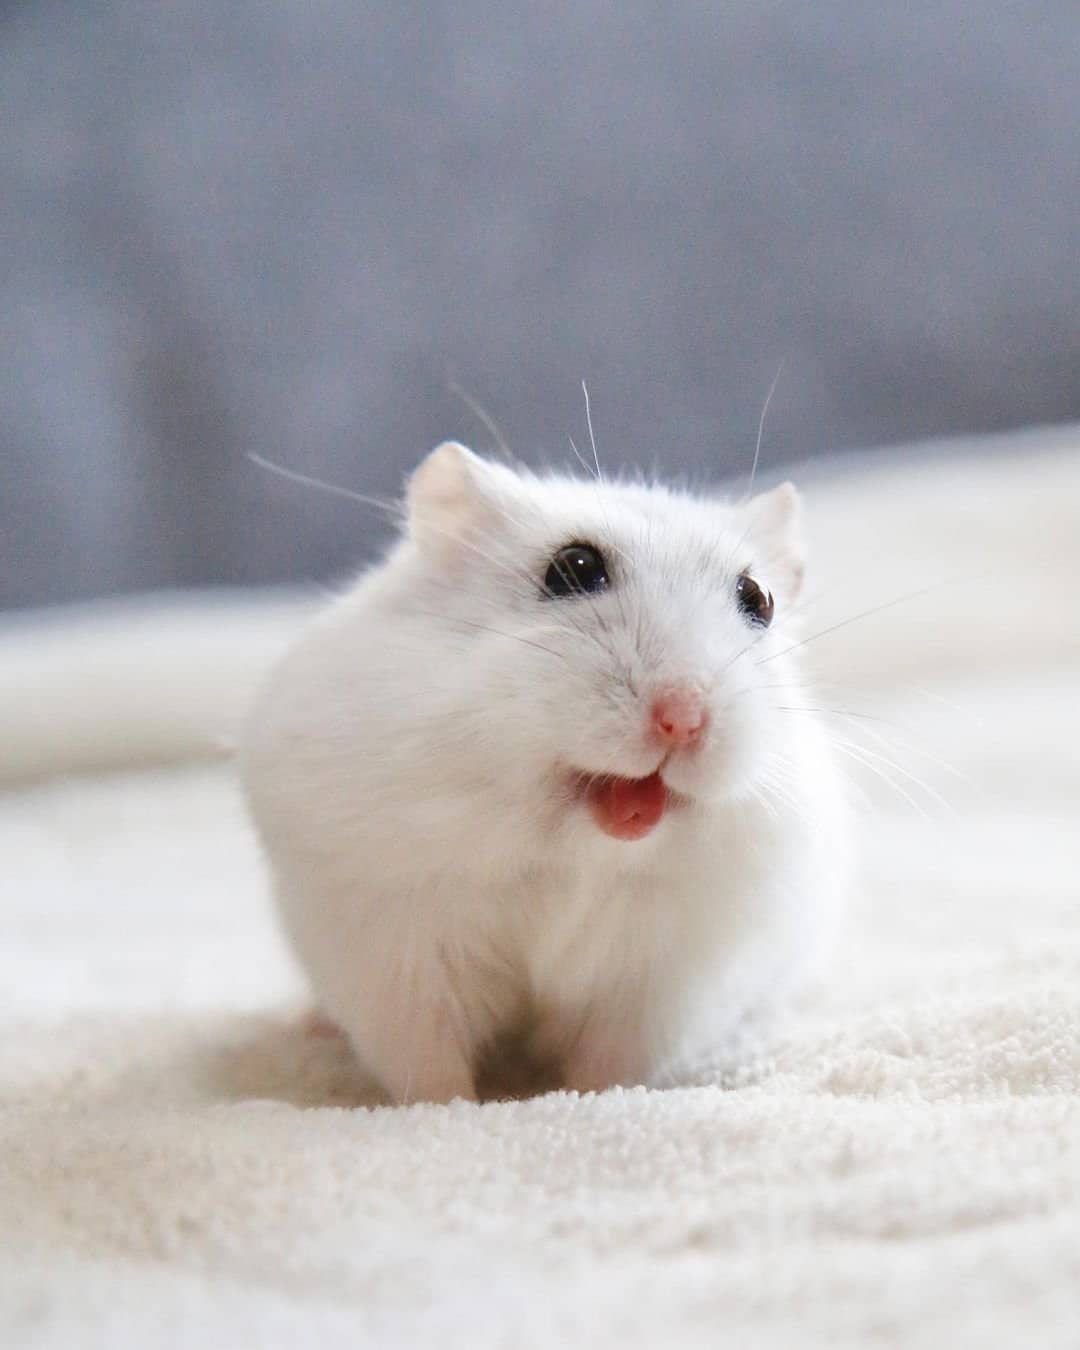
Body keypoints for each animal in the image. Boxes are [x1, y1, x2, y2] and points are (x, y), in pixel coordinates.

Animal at [240, 442, 848, 1104]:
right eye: (574, 568)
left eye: (757, 598)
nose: (682, 720)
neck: (573, 847)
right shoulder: (395, 942)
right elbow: (426, 1064)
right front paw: (451, 1109)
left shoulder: (661, 978)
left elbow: (611, 1065)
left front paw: (588, 1100)